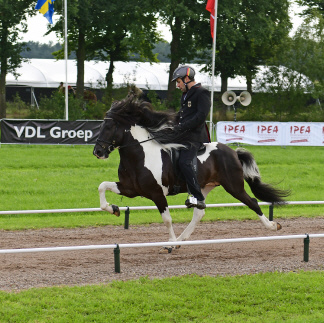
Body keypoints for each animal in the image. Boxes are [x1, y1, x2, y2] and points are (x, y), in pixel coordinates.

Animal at [92, 89, 290, 253]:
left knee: (253, 202)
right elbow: (102, 187)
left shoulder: (157, 193)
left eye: (110, 127)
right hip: (203, 187)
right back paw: (181, 240)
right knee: (199, 212)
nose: (97, 152)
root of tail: (233, 152)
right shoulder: (130, 188)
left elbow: (167, 219)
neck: (140, 155)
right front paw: (114, 209)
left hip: (234, 186)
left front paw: (169, 245)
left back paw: (273, 226)